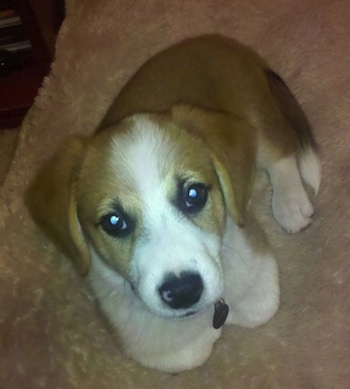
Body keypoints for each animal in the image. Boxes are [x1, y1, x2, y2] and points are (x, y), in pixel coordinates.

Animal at [26, 34, 322, 372]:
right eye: (114, 222)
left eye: (193, 194)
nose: (183, 292)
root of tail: (220, 43)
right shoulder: (146, 343)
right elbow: (185, 355)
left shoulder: (258, 264)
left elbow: (260, 308)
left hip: (254, 115)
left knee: (281, 153)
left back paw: (290, 203)